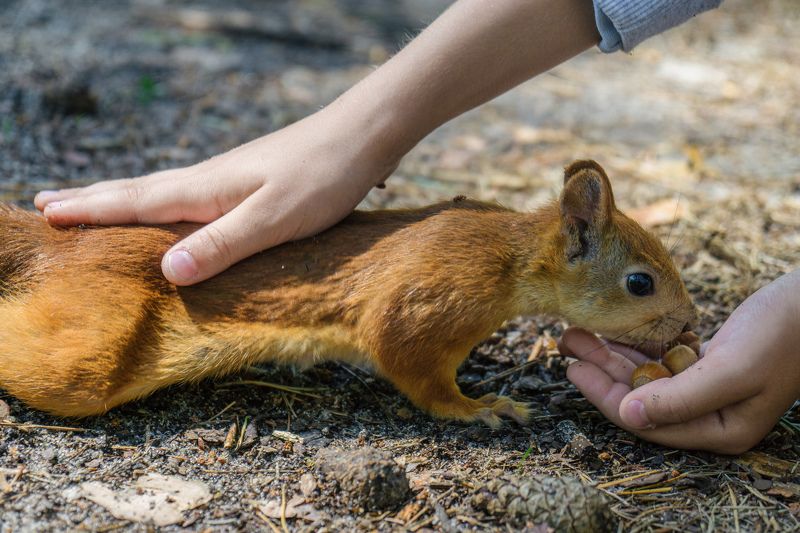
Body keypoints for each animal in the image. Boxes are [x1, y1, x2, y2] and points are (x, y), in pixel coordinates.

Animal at [0, 160, 696, 426]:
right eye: (640, 282)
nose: (690, 326)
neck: (507, 257)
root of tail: (59, 245)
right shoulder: (428, 301)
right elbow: (415, 371)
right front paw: (482, 407)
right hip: (92, 347)